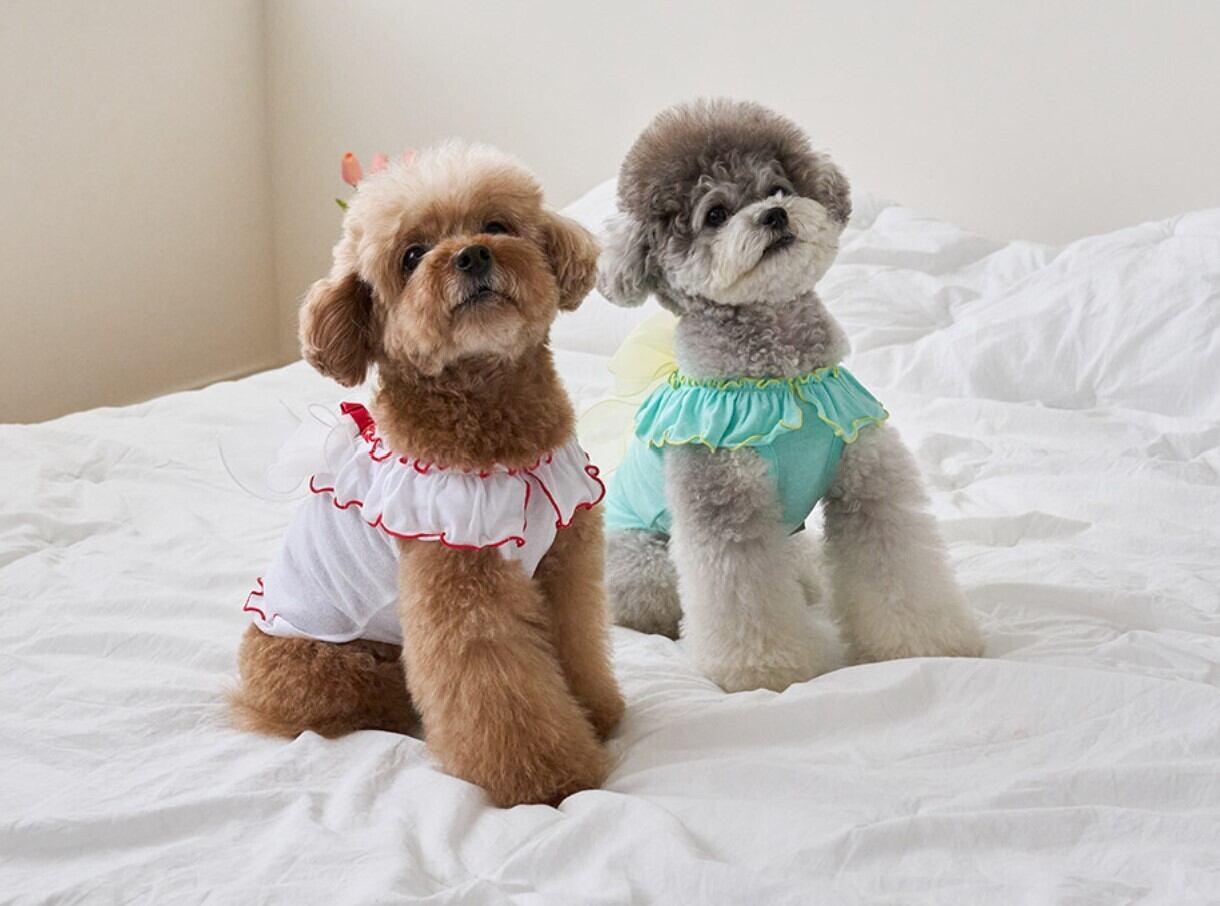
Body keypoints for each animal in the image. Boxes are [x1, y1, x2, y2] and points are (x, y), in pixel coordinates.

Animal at [231, 141, 624, 807]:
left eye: (497, 224)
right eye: (412, 256)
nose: (471, 254)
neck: (498, 432)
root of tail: (246, 691)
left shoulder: (560, 562)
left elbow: (573, 644)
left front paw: (595, 715)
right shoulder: (463, 583)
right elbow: (499, 689)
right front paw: (551, 779)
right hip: (334, 667)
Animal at [596, 99, 984, 692]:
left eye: (776, 187)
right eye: (715, 214)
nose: (774, 215)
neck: (783, 381)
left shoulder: (868, 482)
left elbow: (896, 565)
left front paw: (926, 645)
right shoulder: (727, 509)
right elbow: (747, 599)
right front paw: (766, 670)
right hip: (645, 562)